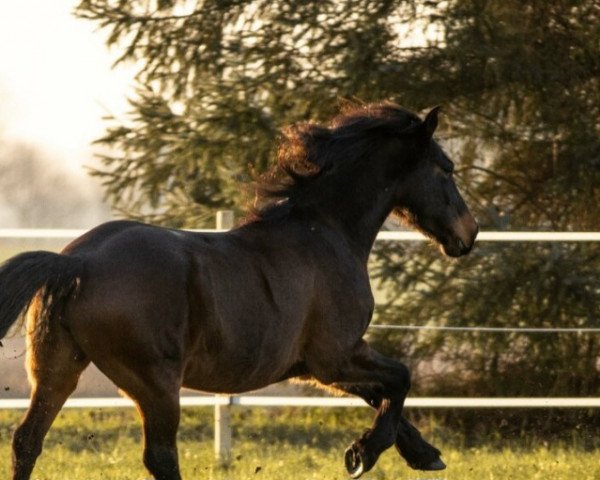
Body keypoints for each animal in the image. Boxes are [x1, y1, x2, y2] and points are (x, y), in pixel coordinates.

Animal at [0, 99, 478, 478]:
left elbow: (383, 392)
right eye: (446, 169)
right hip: (154, 382)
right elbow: (399, 379)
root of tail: (76, 261)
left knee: (27, 441)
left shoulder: (314, 365)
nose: (468, 233)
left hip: (60, 368)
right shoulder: (335, 355)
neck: (326, 233)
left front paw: (423, 454)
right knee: (159, 457)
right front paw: (363, 454)